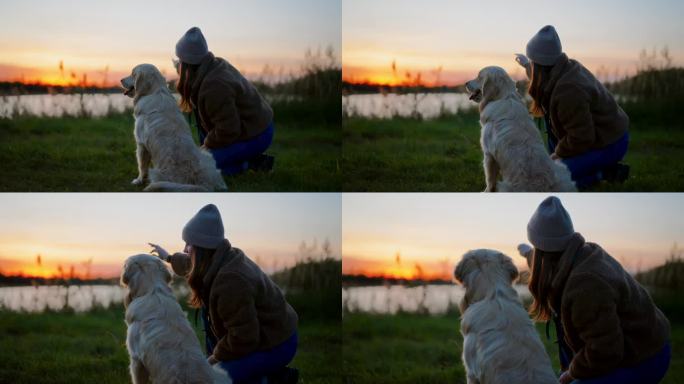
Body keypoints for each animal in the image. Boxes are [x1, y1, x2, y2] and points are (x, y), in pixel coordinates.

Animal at [121, 64, 228, 194]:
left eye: (133, 74)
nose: (120, 80)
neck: (155, 91)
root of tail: (203, 184)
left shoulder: (141, 144)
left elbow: (142, 166)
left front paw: (138, 180)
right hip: (208, 156)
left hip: (156, 174)